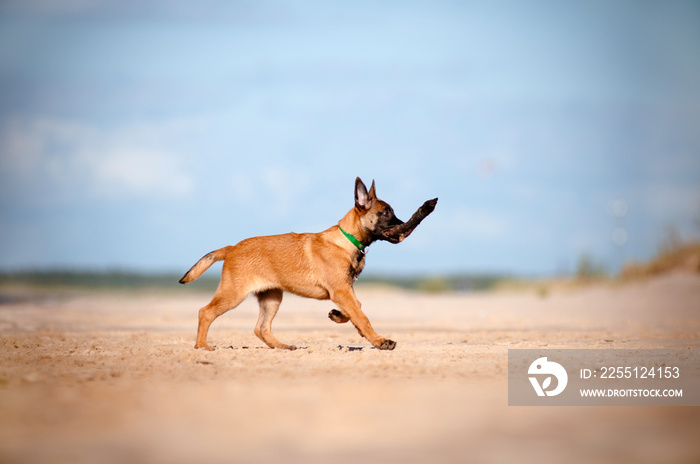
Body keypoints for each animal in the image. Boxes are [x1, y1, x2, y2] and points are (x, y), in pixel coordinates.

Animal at [180, 179, 408, 352]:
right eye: (385, 213)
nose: (404, 226)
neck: (347, 239)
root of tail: (231, 248)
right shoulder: (341, 291)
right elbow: (362, 316)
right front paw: (380, 341)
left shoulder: (345, 289)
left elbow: (357, 308)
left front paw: (339, 316)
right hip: (233, 294)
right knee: (205, 312)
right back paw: (202, 346)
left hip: (271, 297)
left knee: (261, 328)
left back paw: (282, 346)